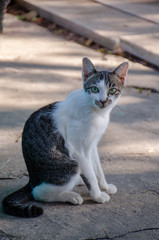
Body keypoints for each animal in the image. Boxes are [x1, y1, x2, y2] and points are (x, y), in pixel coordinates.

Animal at [2, 57, 129, 218]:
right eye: (94, 89)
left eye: (112, 90)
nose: (103, 101)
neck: (96, 113)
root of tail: (32, 180)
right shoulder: (78, 149)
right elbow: (91, 175)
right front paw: (98, 195)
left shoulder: (92, 145)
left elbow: (97, 168)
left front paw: (104, 186)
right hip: (69, 165)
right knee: (39, 193)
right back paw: (71, 196)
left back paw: (78, 182)